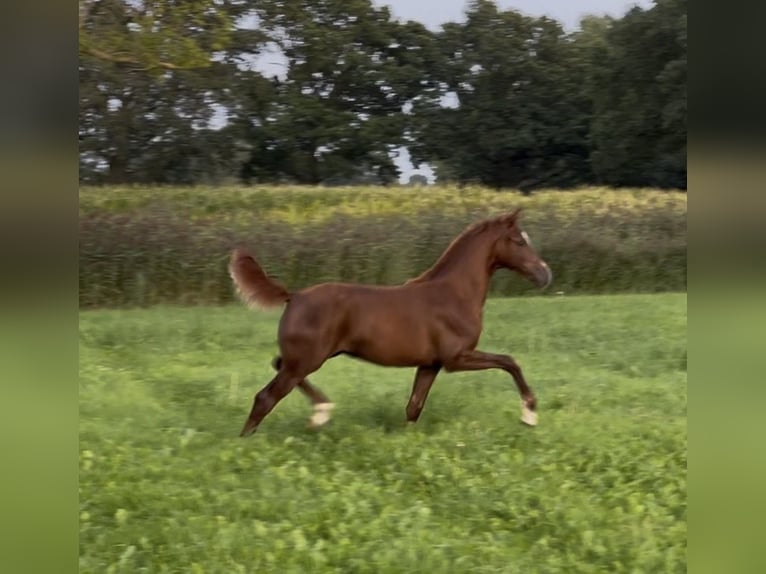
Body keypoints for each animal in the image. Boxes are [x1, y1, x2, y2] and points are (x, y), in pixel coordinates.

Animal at [229, 207, 552, 437]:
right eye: (519, 241)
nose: (545, 275)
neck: (454, 293)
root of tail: (293, 296)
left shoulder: (430, 364)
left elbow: (413, 407)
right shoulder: (456, 358)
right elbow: (509, 361)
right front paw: (530, 414)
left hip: (305, 359)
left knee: (277, 365)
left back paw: (321, 410)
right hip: (307, 360)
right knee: (265, 397)